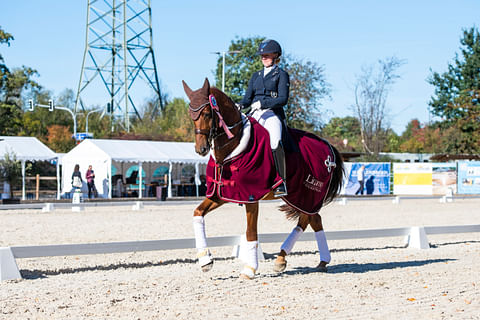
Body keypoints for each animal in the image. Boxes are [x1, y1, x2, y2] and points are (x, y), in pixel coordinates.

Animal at [182, 79, 344, 278]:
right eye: (191, 115)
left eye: (206, 113)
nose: (201, 149)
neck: (232, 148)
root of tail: (328, 148)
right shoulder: (220, 193)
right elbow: (197, 213)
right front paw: (206, 260)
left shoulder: (251, 197)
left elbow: (251, 232)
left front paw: (249, 269)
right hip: (299, 196)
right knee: (313, 220)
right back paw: (298, 260)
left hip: (308, 195)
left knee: (310, 219)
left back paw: (305, 259)